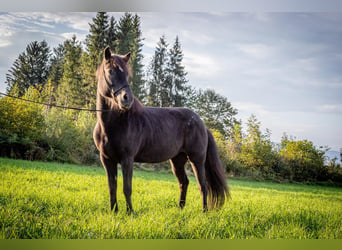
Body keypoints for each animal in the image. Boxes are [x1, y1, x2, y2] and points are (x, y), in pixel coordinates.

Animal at [93, 46, 230, 213]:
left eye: (126, 73)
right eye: (110, 71)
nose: (127, 99)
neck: (114, 124)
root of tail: (201, 123)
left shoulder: (127, 159)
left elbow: (127, 188)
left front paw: (130, 212)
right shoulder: (107, 160)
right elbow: (112, 187)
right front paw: (114, 211)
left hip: (197, 159)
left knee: (202, 185)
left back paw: (204, 211)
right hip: (177, 160)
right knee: (184, 182)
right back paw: (180, 209)